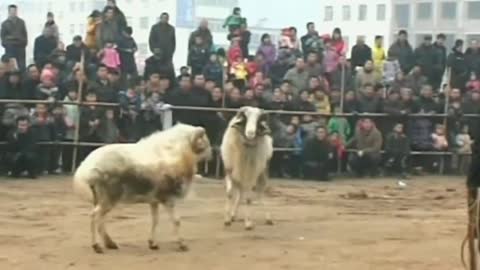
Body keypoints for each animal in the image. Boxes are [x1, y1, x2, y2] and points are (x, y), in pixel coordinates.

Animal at [73, 124, 212, 253]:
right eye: (204, 141)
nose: (211, 155)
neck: (176, 151)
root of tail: (86, 168)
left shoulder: (154, 201)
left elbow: (155, 220)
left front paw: (153, 243)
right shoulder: (168, 198)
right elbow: (176, 221)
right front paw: (182, 245)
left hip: (101, 199)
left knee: (101, 220)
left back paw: (110, 244)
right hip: (108, 198)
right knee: (94, 216)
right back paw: (96, 246)